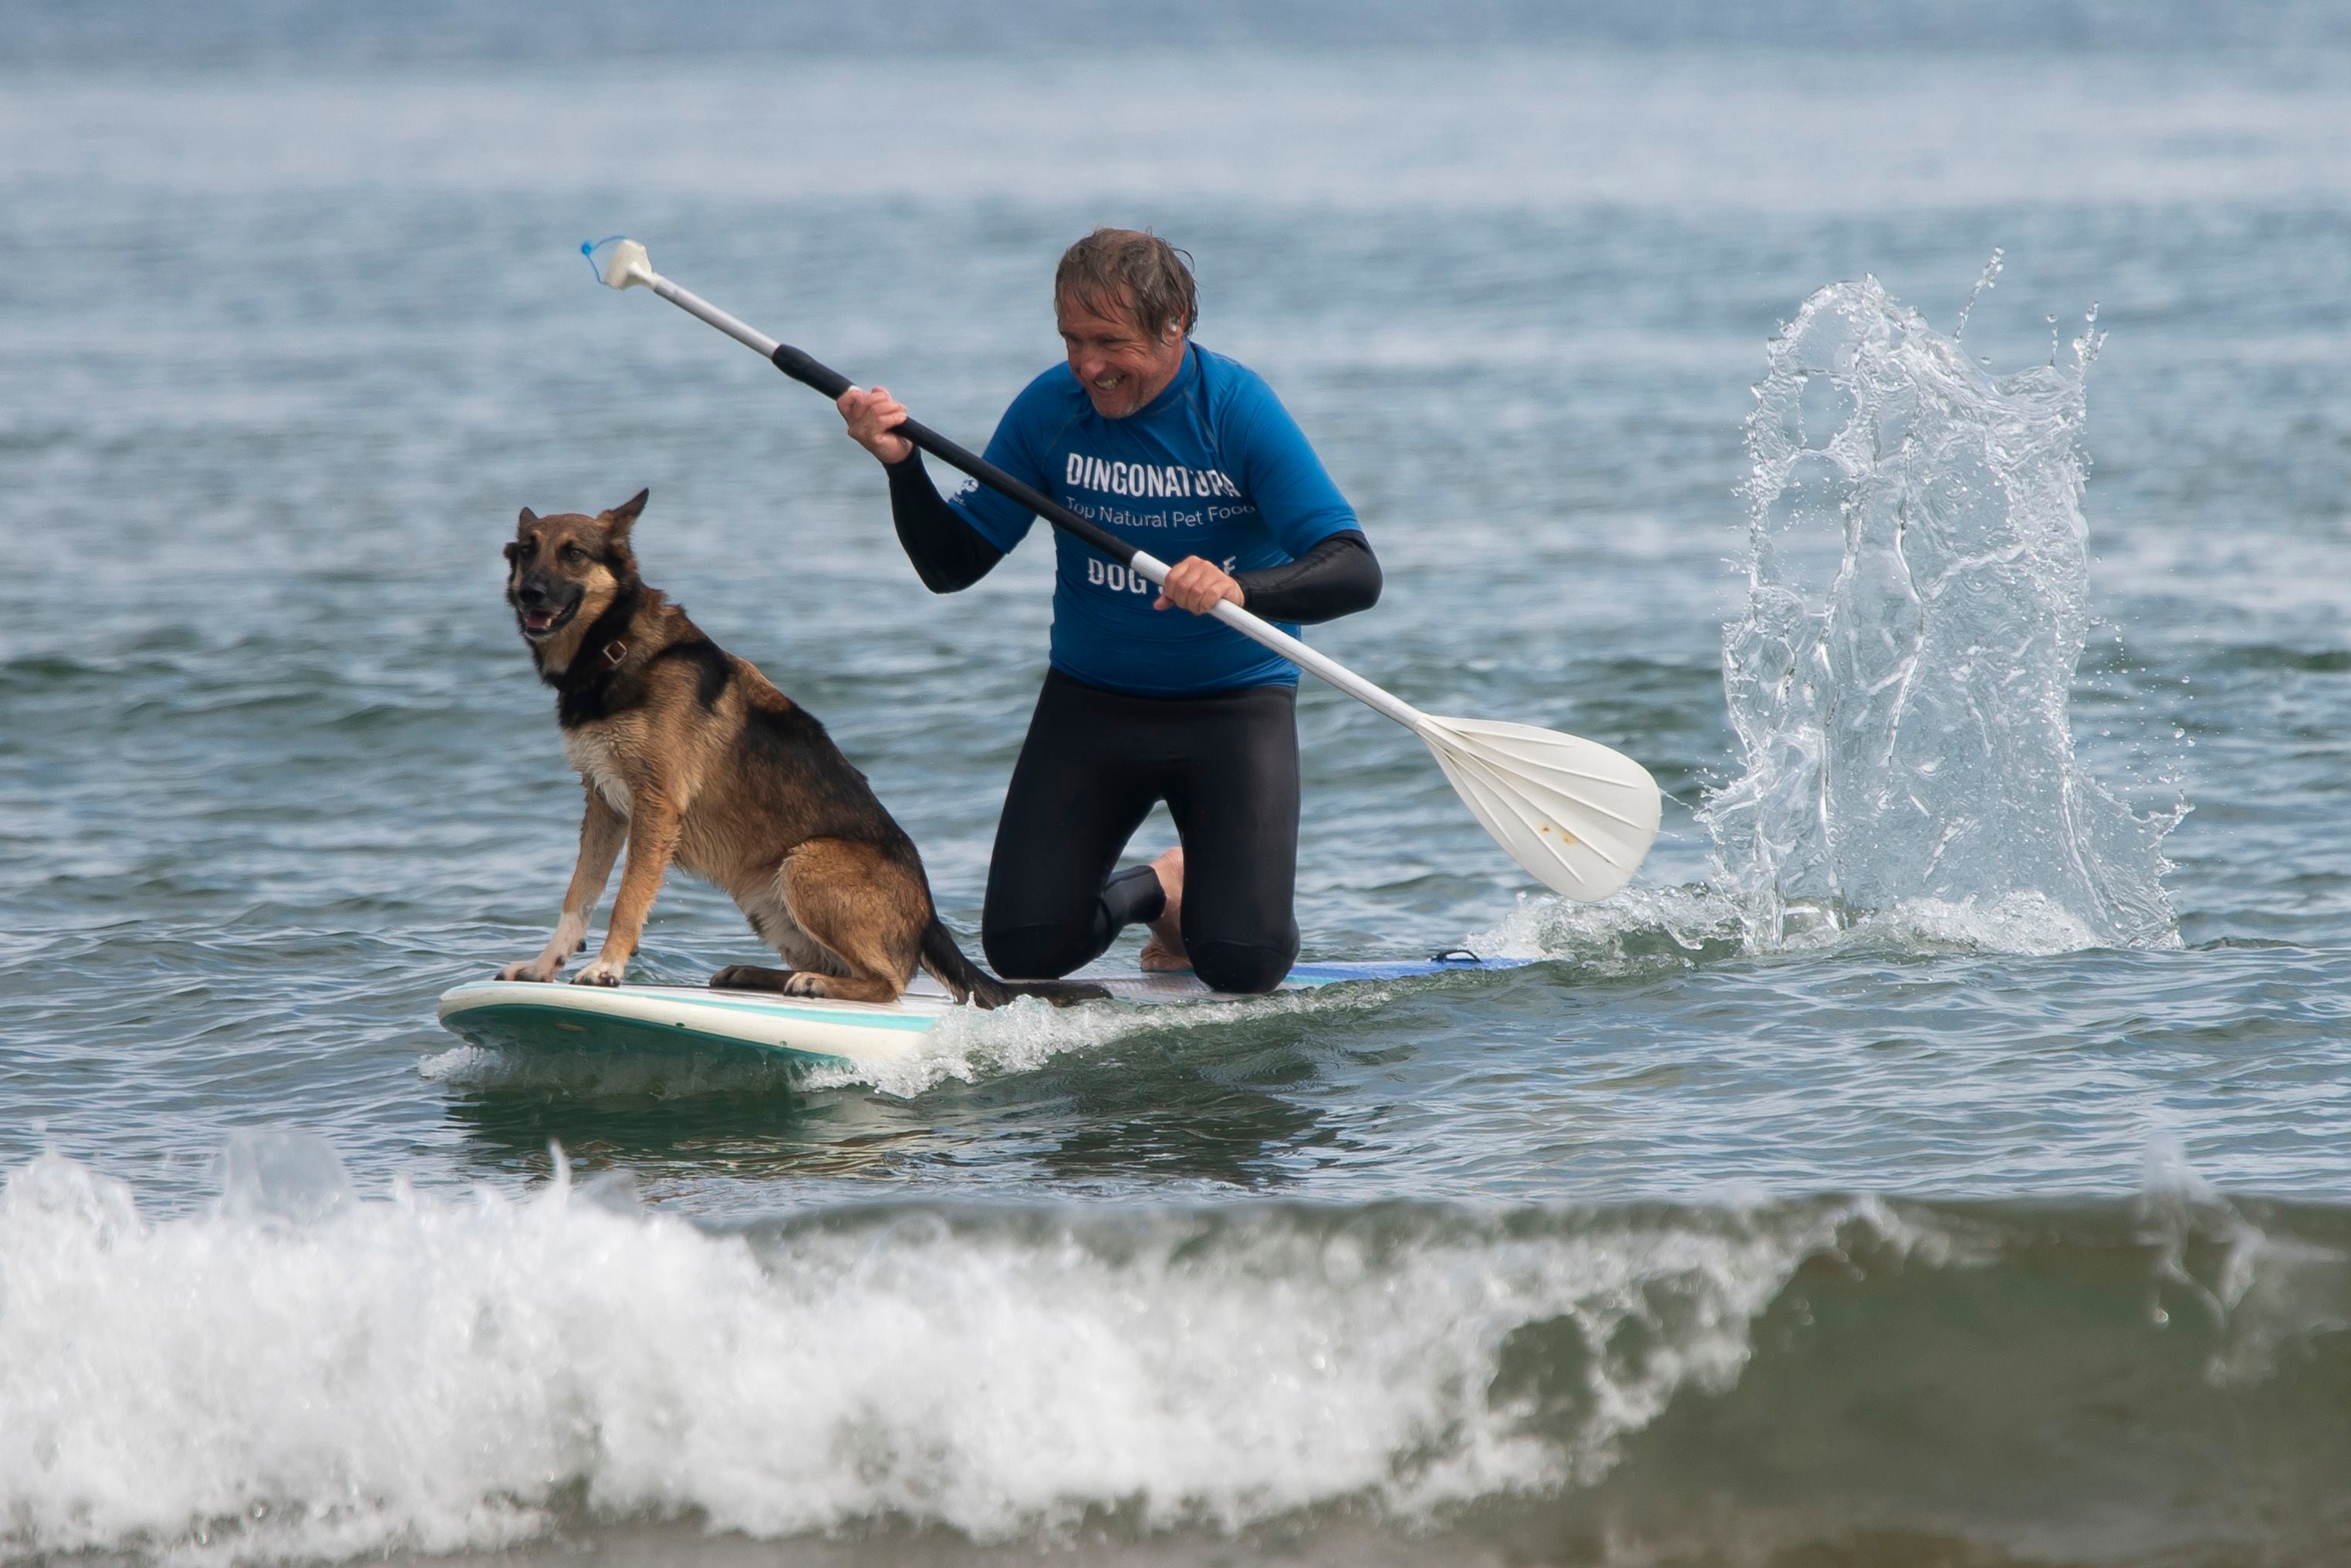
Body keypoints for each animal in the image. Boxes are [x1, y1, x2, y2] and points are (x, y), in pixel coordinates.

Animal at [488, 484, 1110, 1010]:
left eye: (573, 554)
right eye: (526, 552)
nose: (528, 593)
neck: (612, 647)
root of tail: (928, 916)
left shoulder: (654, 807)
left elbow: (624, 900)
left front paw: (606, 969)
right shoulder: (605, 807)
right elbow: (578, 897)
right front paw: (543, 967)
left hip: (807, 864)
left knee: (888, 984)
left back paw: (812, 983)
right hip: (766, 898)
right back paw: (760, 975)